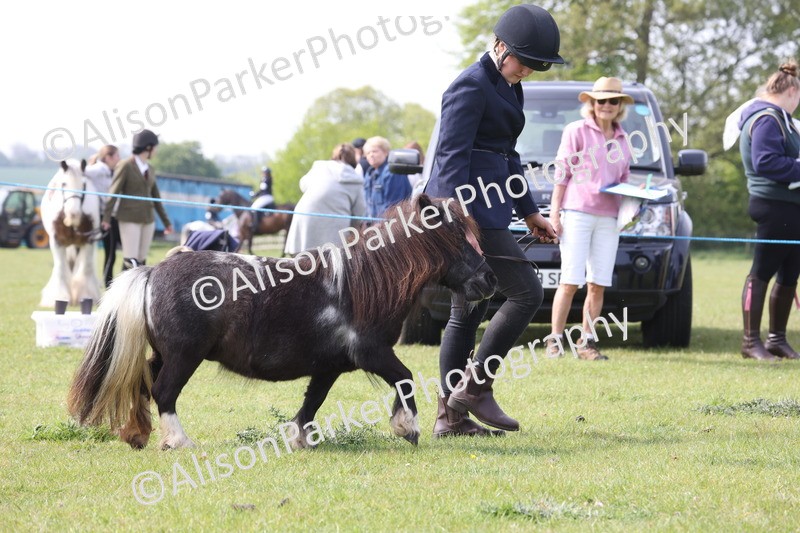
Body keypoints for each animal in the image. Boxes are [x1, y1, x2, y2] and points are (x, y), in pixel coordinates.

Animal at [39, 160, 102, 308]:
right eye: (63, 184)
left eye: (83, 185)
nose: (73, 214)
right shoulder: (57, 241)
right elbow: (61, 268)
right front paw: (58, 296)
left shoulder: (88, 241)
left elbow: (86, 268)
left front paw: (87, 295)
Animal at [66, 195, 497, 451]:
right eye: (457, 238)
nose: (489, 280)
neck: (363, 284)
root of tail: (154, 271)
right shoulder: (372, 353)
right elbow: (405, 378)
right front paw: (407, 428)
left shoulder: (330, 366)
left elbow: (312, 402)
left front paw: (300, 439)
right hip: (185, 356)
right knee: (164, 392)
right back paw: (178, 440)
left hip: (166, 354)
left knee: (143, 381)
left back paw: (138, 433)